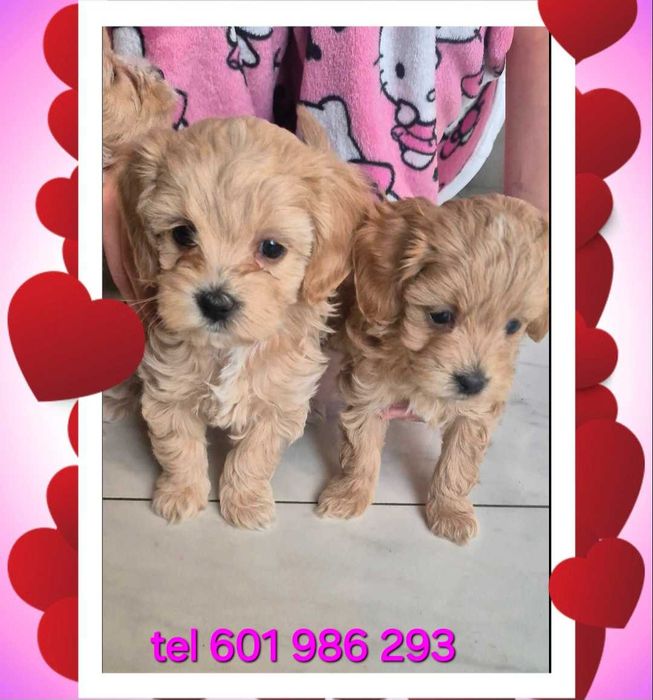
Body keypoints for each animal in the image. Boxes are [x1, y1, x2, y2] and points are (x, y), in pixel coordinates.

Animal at [113, 108, 371, 529]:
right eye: (182, 234)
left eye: (272, 248)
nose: (216, 302)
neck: (229, 350)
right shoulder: (170, 387)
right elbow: (178, 446)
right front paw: (181, 494)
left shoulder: (277, 401)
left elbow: (254, 455)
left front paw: (245, 503)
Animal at [317, 194, 549, 544]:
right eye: (440, 316)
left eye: (513, 326)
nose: (472, 382)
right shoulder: (369, 390)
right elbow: (362, 450)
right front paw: (349, 495)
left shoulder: (476, 412)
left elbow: (458, 461)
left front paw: (450, 512)